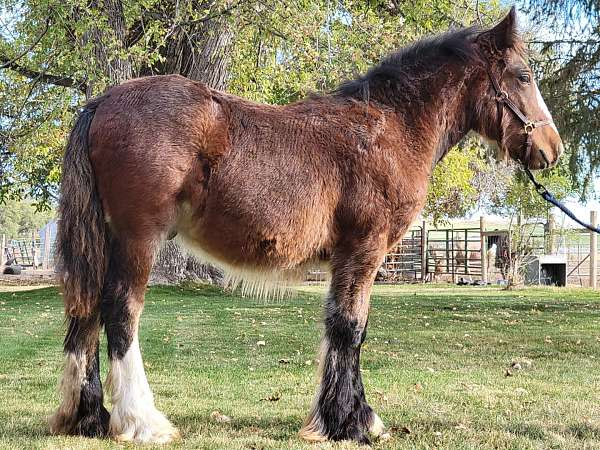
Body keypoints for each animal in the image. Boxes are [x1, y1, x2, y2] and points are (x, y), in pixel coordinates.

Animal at [50, 7, 564, 446]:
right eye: (523, 76)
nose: (552, 147)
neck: (388, 128)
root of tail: (103, 101)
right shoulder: (364, 250)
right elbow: (350, 327)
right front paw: (355, 423)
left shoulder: (347, 258)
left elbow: (341, 326)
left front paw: (338, 417)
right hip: (138, 240)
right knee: (120, 312)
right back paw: (141, 421)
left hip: (105, 242)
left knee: (86, 312)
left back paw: (88, 417)